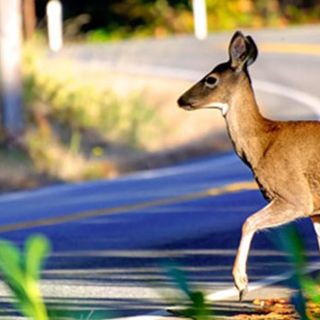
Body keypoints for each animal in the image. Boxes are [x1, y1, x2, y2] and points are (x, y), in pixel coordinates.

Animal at [178, 31, 320, 302]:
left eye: (210, 79)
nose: (181, 99)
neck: (262, 143)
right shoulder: (315, 209)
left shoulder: (296, 196)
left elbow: (248, 222)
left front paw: (241, 284)